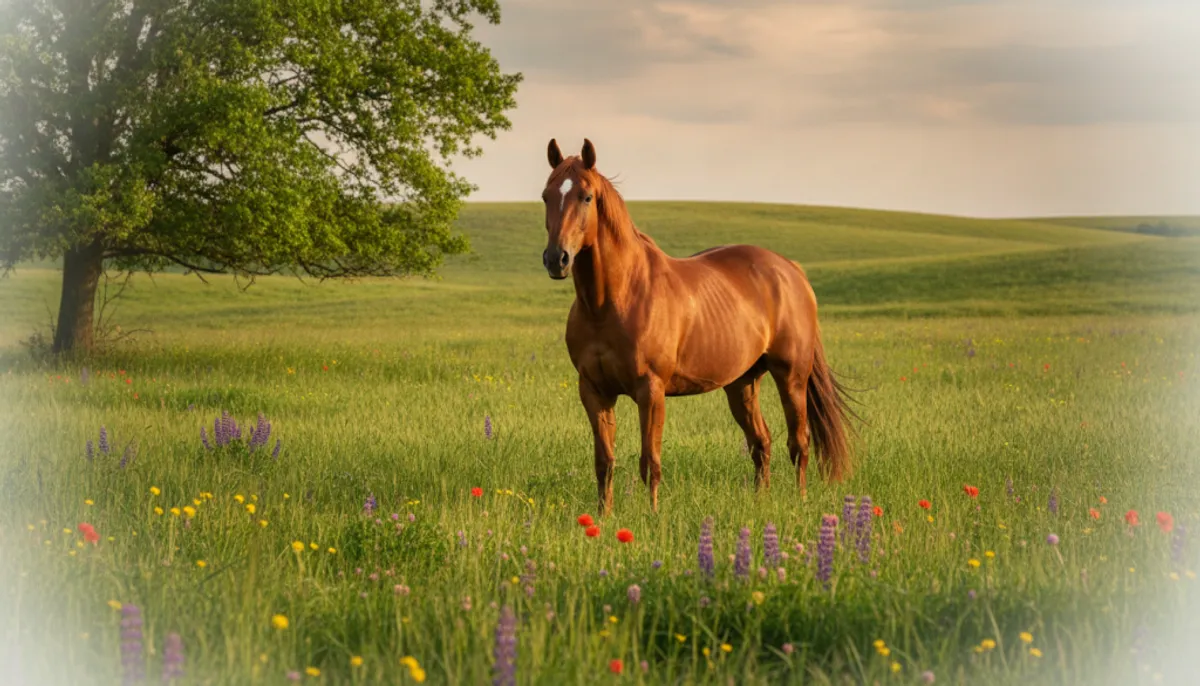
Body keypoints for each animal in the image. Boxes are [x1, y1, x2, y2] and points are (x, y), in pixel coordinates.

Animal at [540, 138, 855, 515]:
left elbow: (650, 461)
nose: (556, 259)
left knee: (799, 444)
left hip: (791, 377)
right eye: (546, 196)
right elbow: (604, 461)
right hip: (742, 383)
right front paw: (603, 517)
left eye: (586, 196)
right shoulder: (593, 390)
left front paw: (652, 516)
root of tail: (790, 270)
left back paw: (801, 502)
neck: (613, 301)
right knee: (761, 442)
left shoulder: (651, 391)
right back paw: (760, 502)